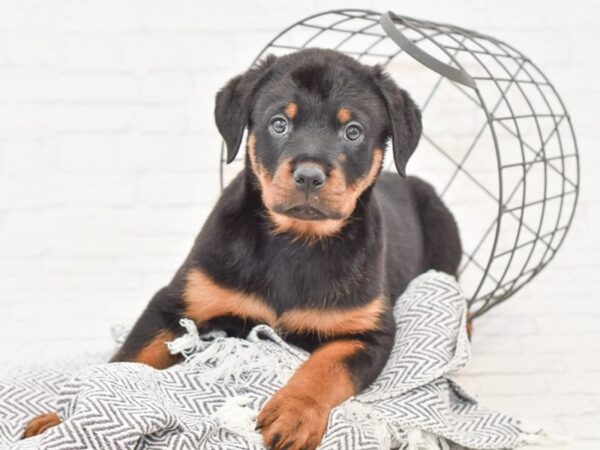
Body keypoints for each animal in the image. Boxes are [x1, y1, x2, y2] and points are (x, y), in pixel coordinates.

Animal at [25, 47, 462, 448]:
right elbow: (126, 359)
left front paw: (294, 413)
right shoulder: (176, 302)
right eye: (279, 124)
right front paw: (63, 416)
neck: (296, 241)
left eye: (352, 131)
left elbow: (326, 368)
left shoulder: (368, 333)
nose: (309, 175)